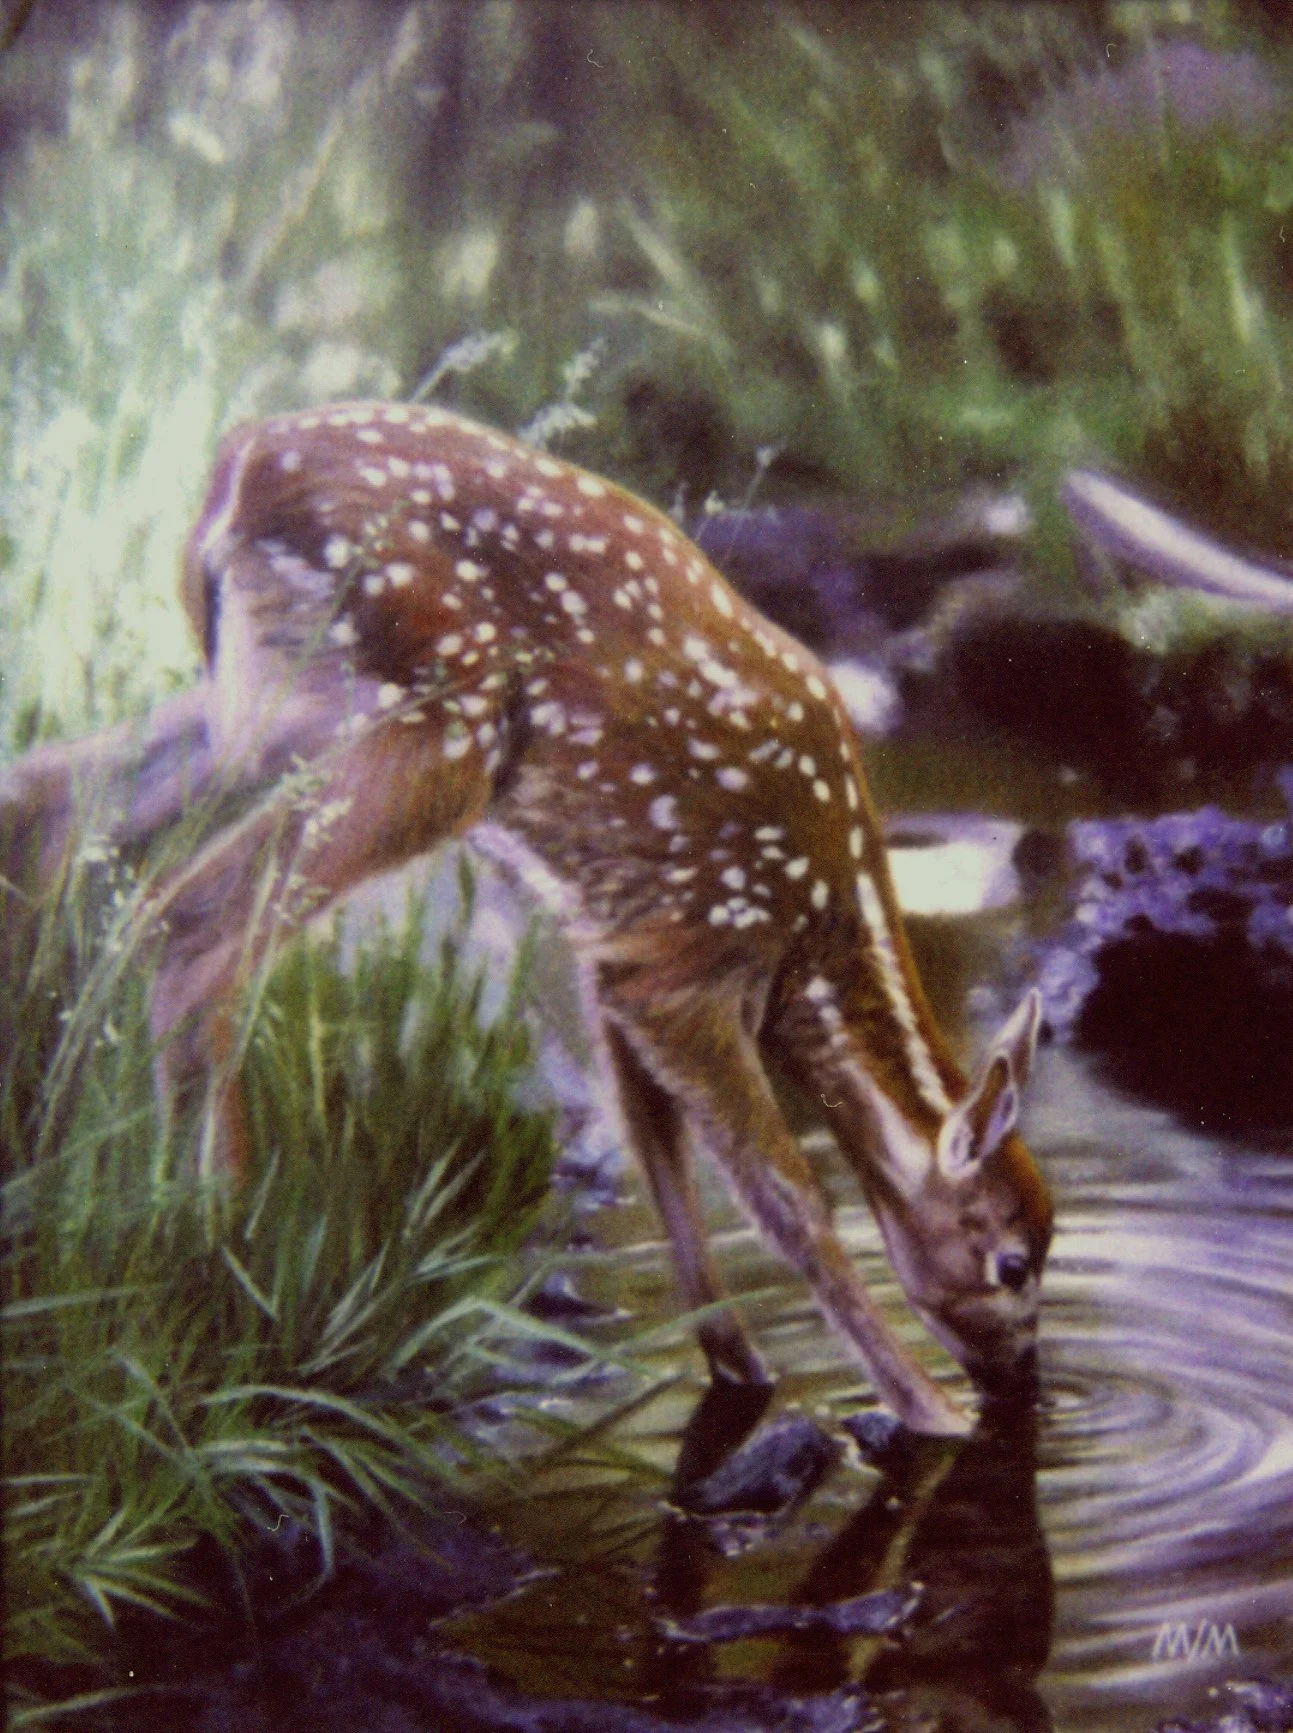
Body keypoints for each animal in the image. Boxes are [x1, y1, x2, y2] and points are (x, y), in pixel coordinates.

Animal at [0, 401, 1052, 1437]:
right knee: (194, 923)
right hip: (430, 728)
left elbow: (661, 1162)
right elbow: (788, 1196)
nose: (1019, 1386)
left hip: (264, 713)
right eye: (1012, 1262)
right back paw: (212, 1246)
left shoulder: (614, 959)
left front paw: (740, 1374)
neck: (819, 940)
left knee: (52, 802)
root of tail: (234, 473)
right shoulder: (688, 954)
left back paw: (59, 1152)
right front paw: (925, 1410)